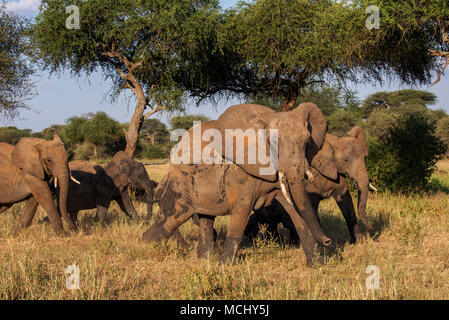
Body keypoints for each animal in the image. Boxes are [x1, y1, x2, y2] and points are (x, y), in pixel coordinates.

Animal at [144, 103, 332, 264]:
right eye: (273, 142)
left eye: (307, 143)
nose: (328, 241)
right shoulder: (241, 175)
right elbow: (242, 211)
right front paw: (224, 266)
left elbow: (294, 209)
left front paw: (317, 265)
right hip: (181, 184)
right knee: (176, 217)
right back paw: (147, 243)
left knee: (205, 218)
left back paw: (203, 259)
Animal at [243, 126, 372, 244]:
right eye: (345, 160)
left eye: (365, 157)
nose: (371, 229)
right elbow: (311, 207)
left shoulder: (337, 173)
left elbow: (346, 201)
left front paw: (359, 242)